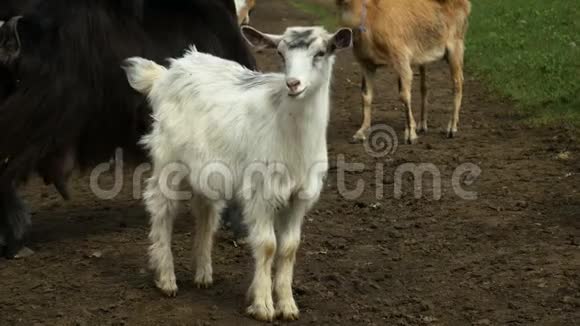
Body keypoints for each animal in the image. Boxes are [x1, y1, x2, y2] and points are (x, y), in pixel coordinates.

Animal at [336, 0, 472, 143]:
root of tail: (465, 4)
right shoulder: (366, 63)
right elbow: (366, 96)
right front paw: (361, 132)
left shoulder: (401, 57)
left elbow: (404, 95)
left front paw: (410, 135)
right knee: (424, 86)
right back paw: (422, 125)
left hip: (456, 47)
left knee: (457, 83)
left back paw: (451, 128)